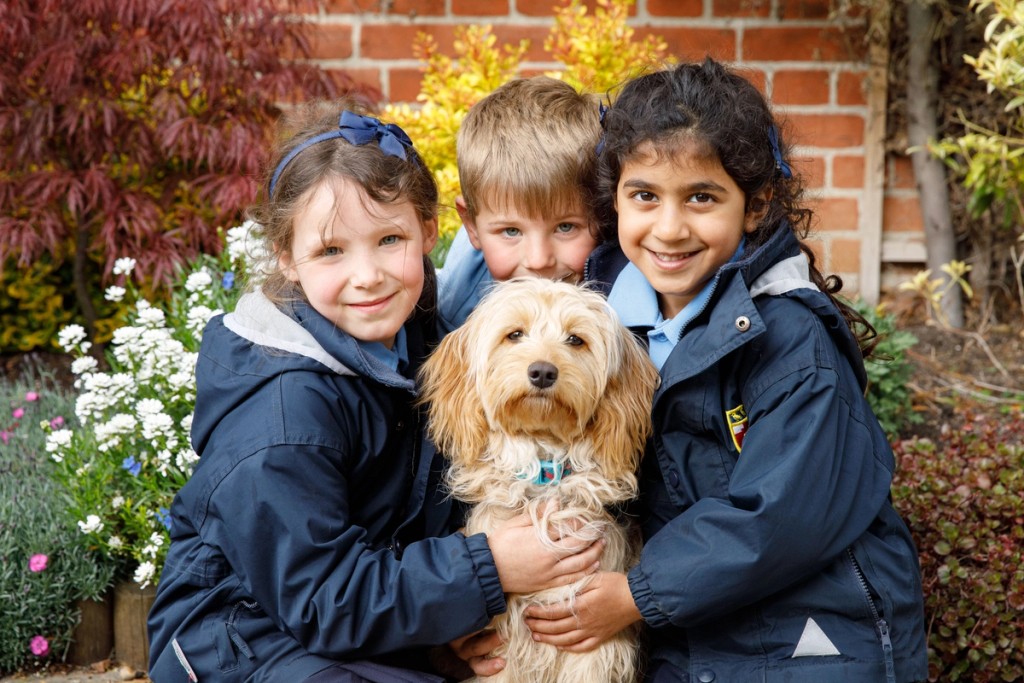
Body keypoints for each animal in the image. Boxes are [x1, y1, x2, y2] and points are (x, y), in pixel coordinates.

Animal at [419, 278, 659, 683]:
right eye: (515, 334)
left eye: (576, 340)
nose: (543, 372)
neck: (544, 475)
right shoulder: (503, 644)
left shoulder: (590, 637)